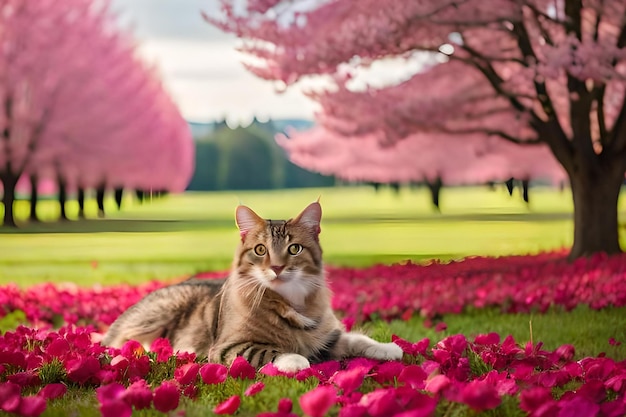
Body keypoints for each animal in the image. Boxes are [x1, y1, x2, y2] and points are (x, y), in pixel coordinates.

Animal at [103, 201, 400, 370]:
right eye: (260, 250)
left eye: (294, 248)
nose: (277, 267)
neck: (290, 299)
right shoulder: (227, 346)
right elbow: (266, 350)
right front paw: (296, 359)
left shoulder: (328, 335)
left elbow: (356, 338)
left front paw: (388, 347)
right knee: (118, 344)